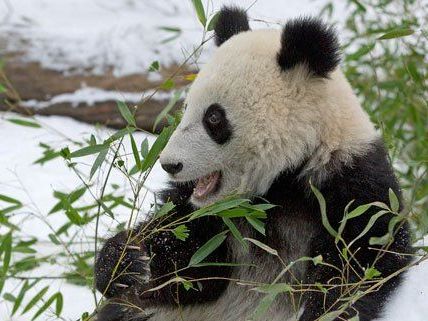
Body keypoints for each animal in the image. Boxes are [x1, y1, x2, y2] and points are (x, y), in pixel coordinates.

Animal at [93, 5, 412, 320]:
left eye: (213, 118)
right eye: (185, 108)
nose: (169, 165)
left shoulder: (349, 180)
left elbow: (359, 261)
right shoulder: (217, 216)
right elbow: (188, 262)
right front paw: (126, 260)